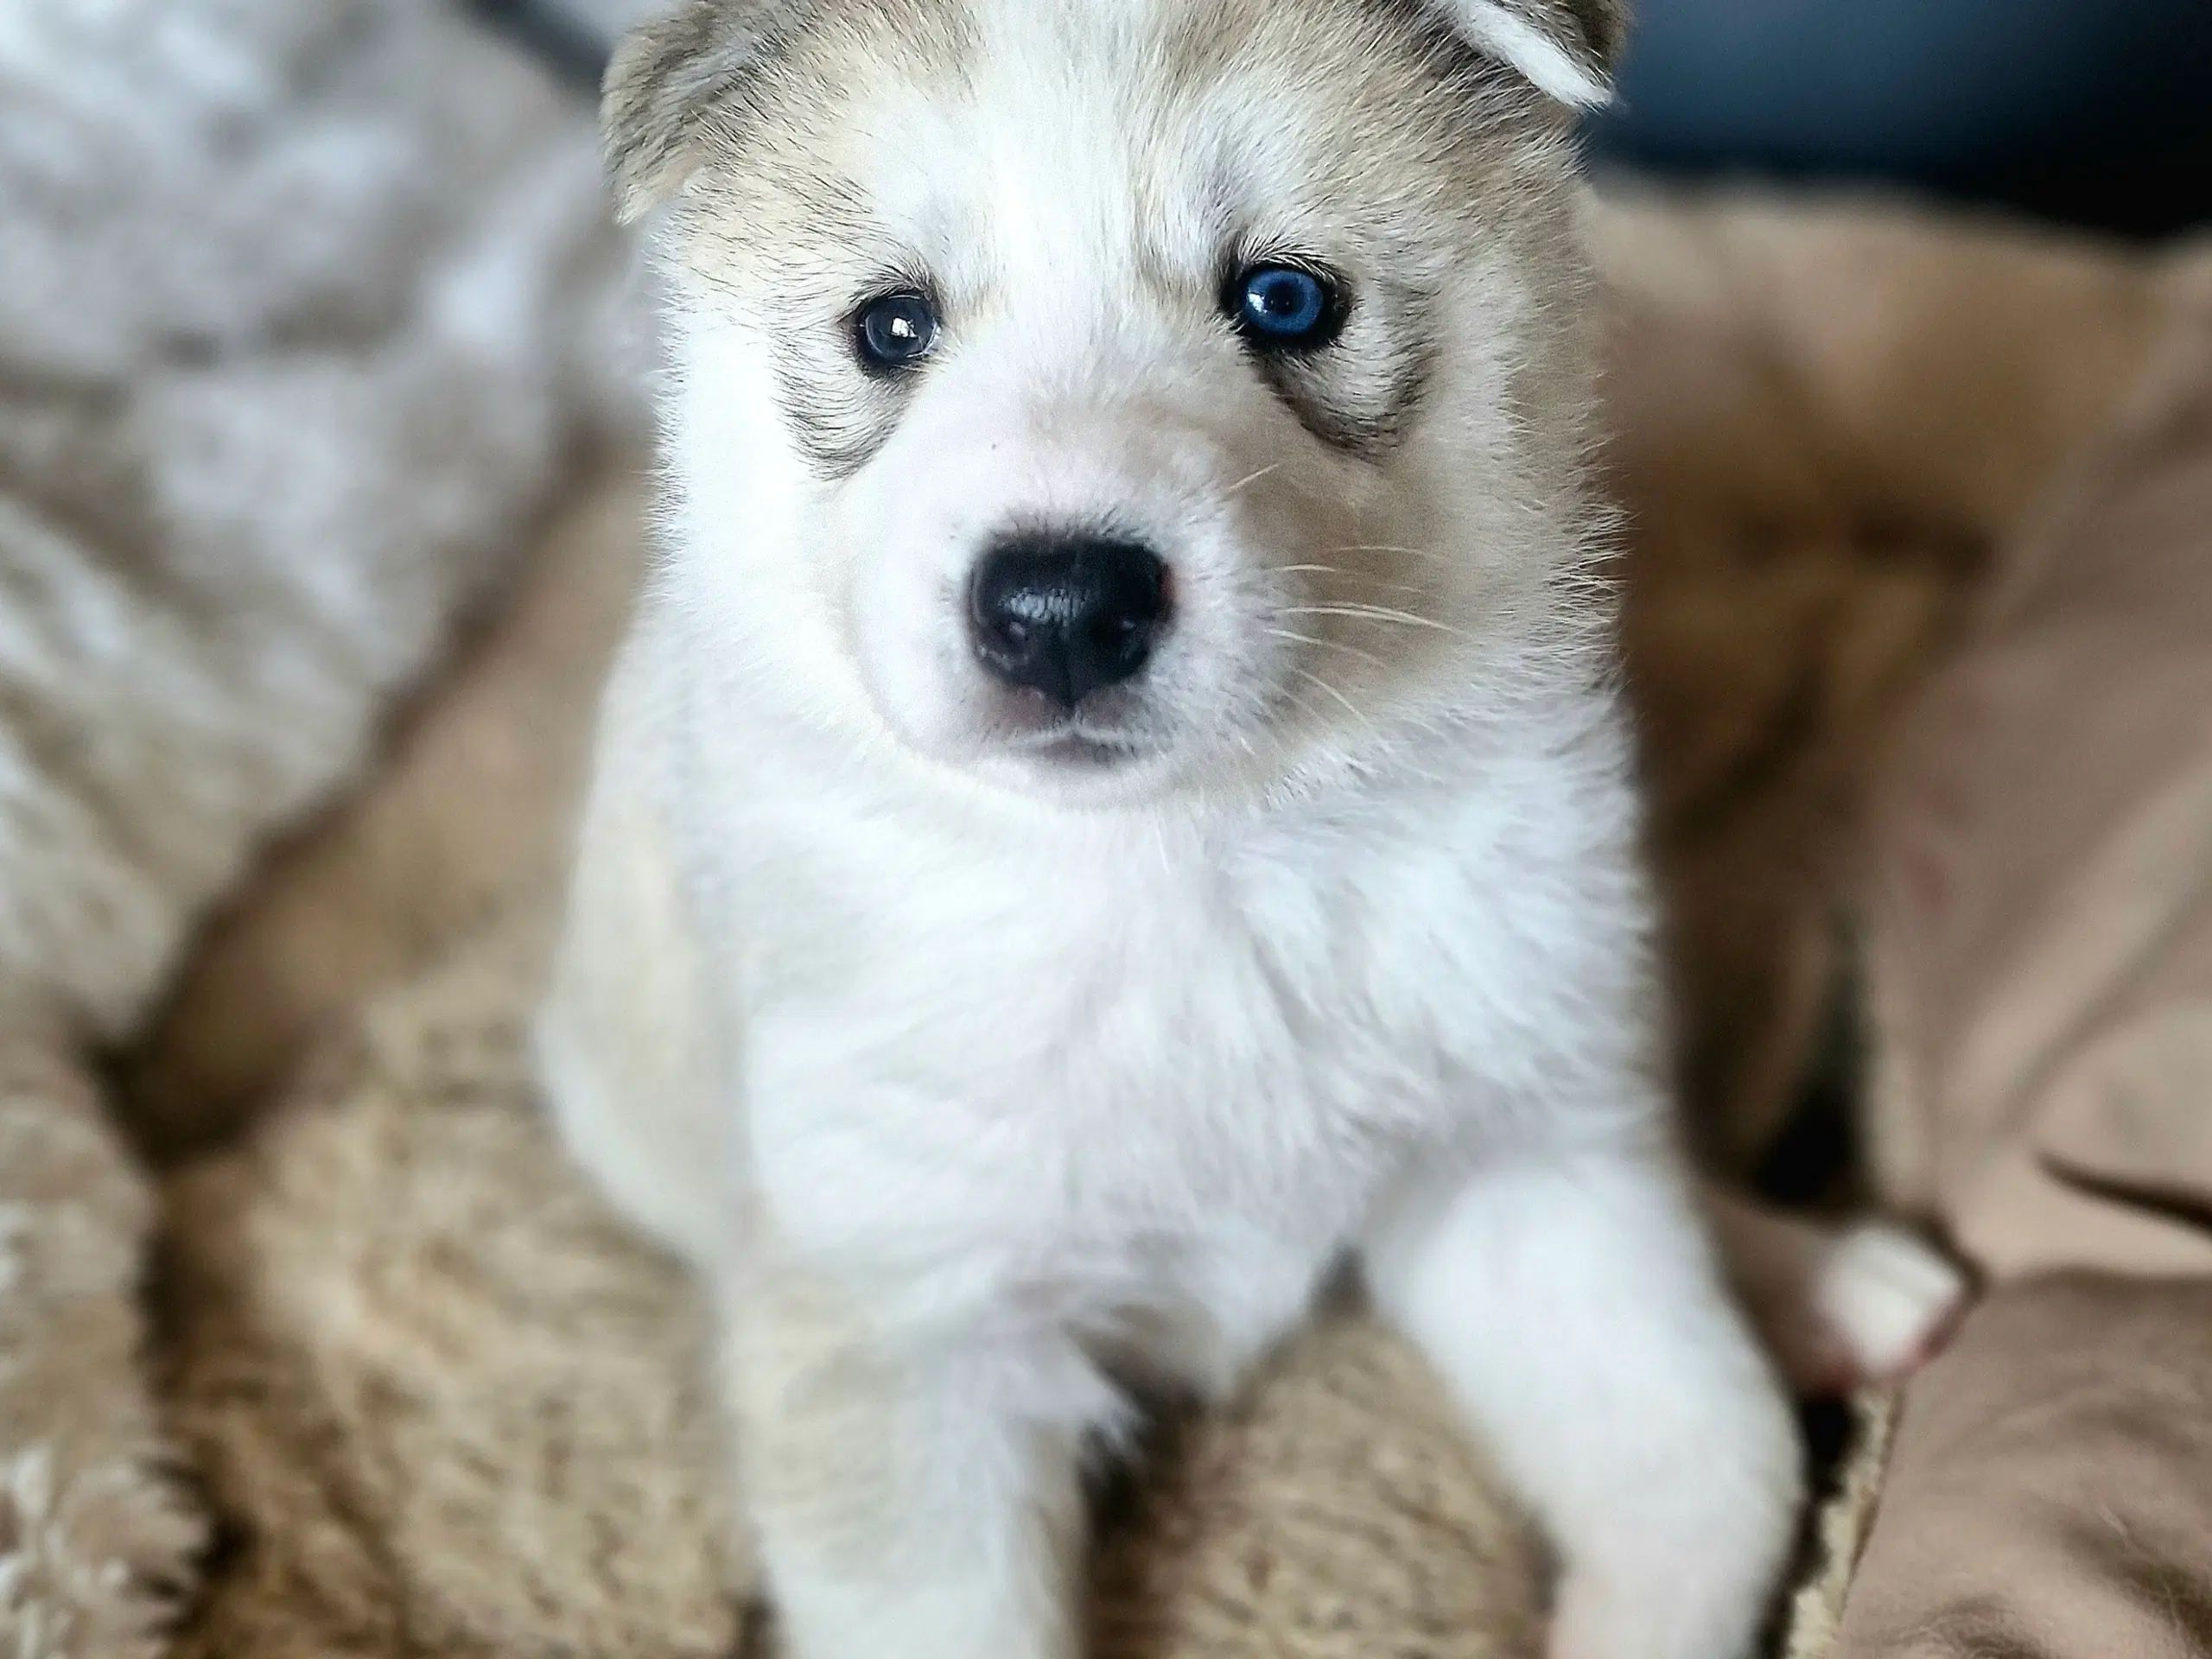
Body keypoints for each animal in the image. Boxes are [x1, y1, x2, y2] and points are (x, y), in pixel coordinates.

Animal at [543, 6, 1946, 1654]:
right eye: (890, 329)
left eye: (1285, 301)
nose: (1063, 607)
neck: (1185, 863)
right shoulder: (904, 1329)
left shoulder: (1523, 1171)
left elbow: (1710, 1459)